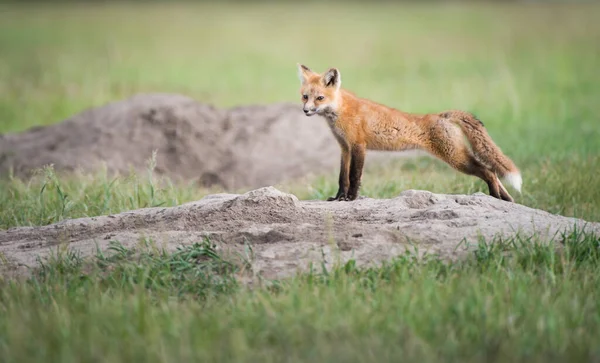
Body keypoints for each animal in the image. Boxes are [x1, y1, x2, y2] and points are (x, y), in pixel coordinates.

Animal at [298, 64, 524, 203]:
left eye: (319, 98)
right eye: (305, 97)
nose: (306, 110)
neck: (340, 111)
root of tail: (441, 115)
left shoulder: (358, 147)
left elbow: (354, 177)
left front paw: (351, 198)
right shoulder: (344, 148)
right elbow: (342, 178)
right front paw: (338, 198)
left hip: (456, 158)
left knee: (489, 171)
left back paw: (494, 195)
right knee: (494, 173)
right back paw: (507, 200)